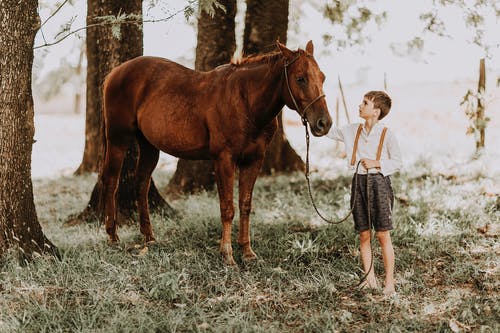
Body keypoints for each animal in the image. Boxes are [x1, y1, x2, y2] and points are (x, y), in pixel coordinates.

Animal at [101, 40, 332, 264]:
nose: (324, 123)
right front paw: (227, 254)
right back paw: (112, 236)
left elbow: (245, 205)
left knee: (141, 183)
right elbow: (227, 208)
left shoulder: (254, 160)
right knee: (111, 181)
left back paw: (149, 237)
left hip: (149, 145)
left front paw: (247, 252)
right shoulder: (224, 159)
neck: (245, 102)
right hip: (118, 140)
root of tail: (115, 73)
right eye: (300, 78)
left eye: (322, 77)